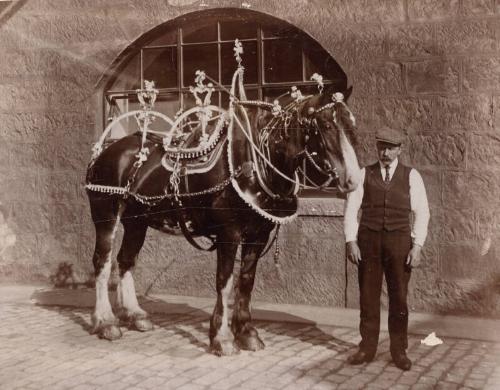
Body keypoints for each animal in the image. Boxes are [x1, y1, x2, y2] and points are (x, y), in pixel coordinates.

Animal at [85, 80, 360, 356]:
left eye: (352, 125)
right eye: (326, 125)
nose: (353, 180)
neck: (255, 162)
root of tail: (104, 151)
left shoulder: (259, 235)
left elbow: (246, 282)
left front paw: (247, 333)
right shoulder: (229, 233)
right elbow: (225, 282)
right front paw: (222, 337)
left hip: (136, 222)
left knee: (125, 260)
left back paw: (135, 315)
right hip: (106, 215)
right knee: (103, 262)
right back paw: (106, 322)